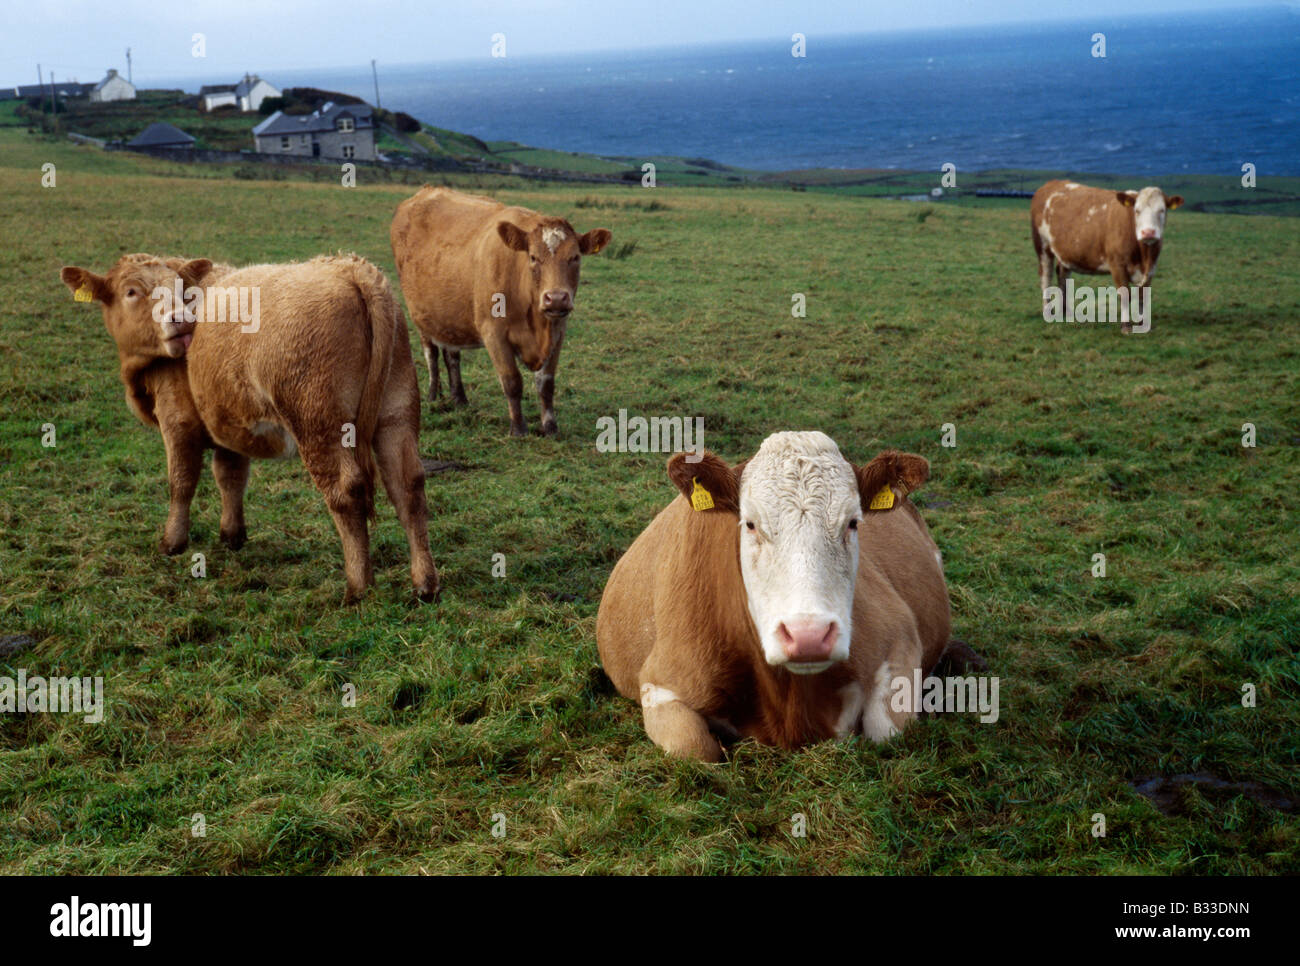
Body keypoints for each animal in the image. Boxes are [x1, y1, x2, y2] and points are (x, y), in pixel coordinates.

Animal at [60, 252, 439, 603]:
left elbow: (180, 483)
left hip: (319, 424)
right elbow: (230, 478)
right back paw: (425, 583)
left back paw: (358, 586)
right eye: (131, 291)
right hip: (396, 413)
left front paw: (172, 542)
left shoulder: (177, 422)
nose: (179, 320)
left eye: (179, 288)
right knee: (407, 486)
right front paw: (232, 535)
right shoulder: (228, 427)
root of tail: (352, 269)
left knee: (346, 492)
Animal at [390, 186, 611, 437]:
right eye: (533, 257)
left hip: (449, 316)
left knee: (452, 356)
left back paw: (459, 398)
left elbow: (546, 383)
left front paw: (550, 427)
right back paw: (433, 396)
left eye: (575, 257)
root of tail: (427, 190)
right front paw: (518, 429)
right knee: (432, 354)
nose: (555, 298)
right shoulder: (493, 333)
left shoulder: (558, 331)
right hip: (420, 315)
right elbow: (512, 381)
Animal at [596, 430, 960, 762]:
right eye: (750, 524)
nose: (809, 635)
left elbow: (886, 731)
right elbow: (695, 749)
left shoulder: (900, 637)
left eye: (853, 522)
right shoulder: (661, 682)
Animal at [1031, 180, 1183, 333]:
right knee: (1045, 276)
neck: (1144, 255)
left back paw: (1066, 312)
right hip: (1042, 245)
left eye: (1162, 210)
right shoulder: (1117, 264)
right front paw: (1126, 326)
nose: (1148, 232)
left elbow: (1143, 295)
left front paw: (1142, 324)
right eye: (1137, 210)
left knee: (1063, 274)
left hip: (1066, 252)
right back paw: (1047, 312)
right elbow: (1125, 294)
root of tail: (1052, 183)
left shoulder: (1151, 267)